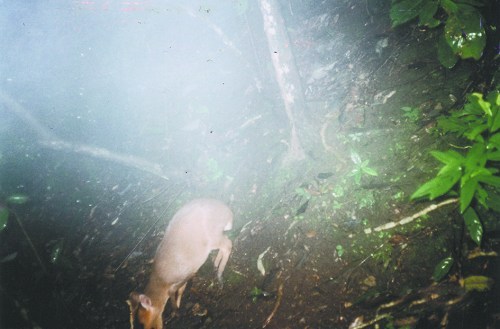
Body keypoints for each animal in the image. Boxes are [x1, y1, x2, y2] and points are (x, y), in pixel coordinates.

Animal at [127, 197, 232, 328]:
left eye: (142, 322)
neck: (160, 279)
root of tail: (228, 213)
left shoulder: (185, 274)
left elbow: (174, 290)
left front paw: (175, 311)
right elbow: (181, 290)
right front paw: (177, 306)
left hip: (213, 237)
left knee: (228, 244)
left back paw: (219, 276)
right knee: (226, 243)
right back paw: (216, 263)